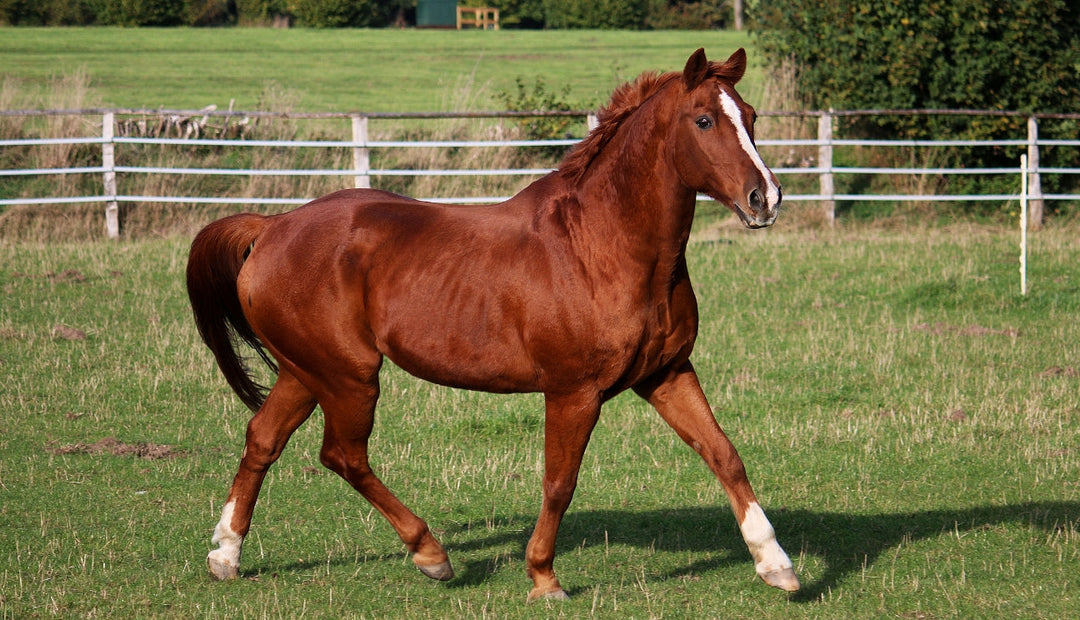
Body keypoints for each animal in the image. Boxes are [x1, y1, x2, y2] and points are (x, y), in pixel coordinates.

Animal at [186, 48, 799, 601]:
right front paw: (544, 579)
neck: (604, 245)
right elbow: (560, 482)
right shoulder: (574, 392)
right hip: (348, 376)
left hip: (305, 371)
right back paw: (431, 555)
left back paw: (225, 555)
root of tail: (271, 227)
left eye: (751, 115)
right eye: (704, 120)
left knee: (264, 439)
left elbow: (724, 455)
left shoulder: (666, 374)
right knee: (342, 455)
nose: (765, 198)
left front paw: (777, 565)